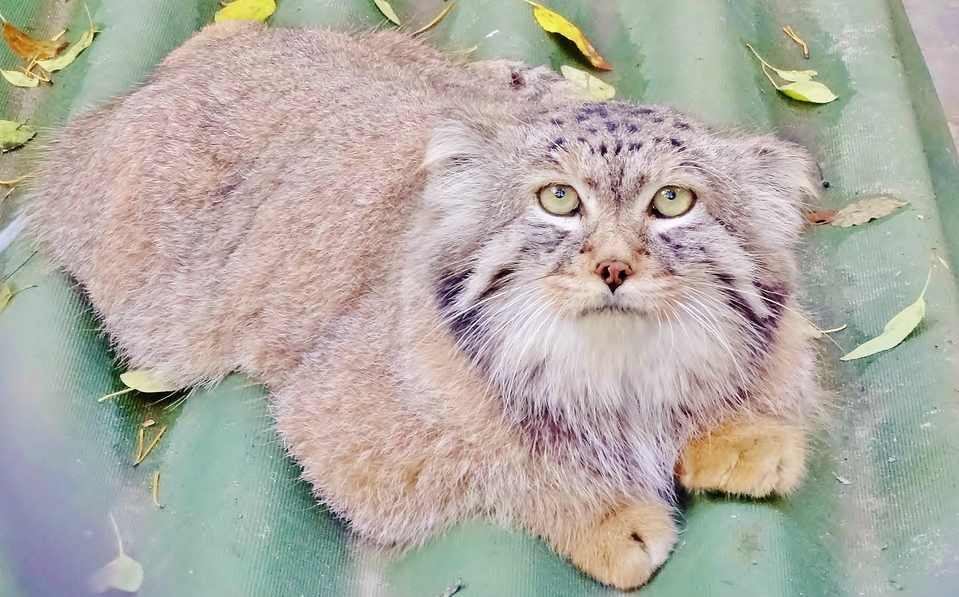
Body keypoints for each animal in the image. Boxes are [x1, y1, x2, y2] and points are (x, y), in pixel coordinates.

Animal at [26, 21, 820, 588]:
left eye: (673, 201)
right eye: (558, 199)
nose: (614, 268)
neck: (614, 375)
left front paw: (735, 432)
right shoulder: (342, 426)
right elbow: (508, 458)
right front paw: (604, 514)